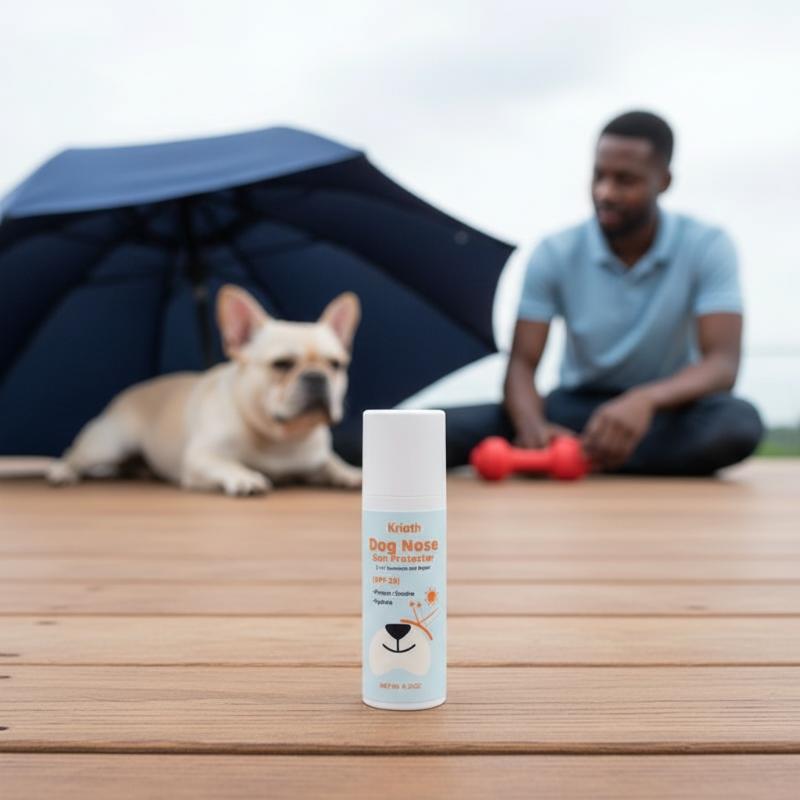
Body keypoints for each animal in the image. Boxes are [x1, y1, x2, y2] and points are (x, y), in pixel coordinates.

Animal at [47, 285, 362, 496]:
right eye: (282, 364)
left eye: (335, 364)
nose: (316, 377)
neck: (280, 439)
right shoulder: (201, 458)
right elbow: (227, 464)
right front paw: (245, 477)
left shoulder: (317, 456)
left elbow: (332, 463)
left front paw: (351, 473)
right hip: (110, 443)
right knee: (74, 454)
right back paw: (60, 471)